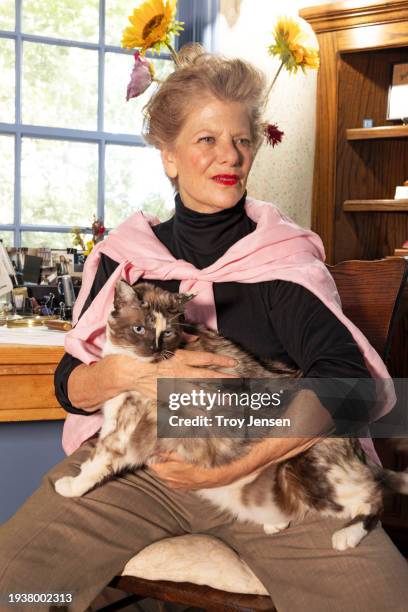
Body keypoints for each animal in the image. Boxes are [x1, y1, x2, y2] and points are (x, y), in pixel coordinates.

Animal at [55, 280, 408, 552]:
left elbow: (98, 462)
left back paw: (346, 535)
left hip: (308, 474)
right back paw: (276, 522)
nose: (155, 350)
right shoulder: (114, 417)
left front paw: (71, 486)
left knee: (374, 493)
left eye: (166, 333)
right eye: (139, 328)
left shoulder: (127, 427)